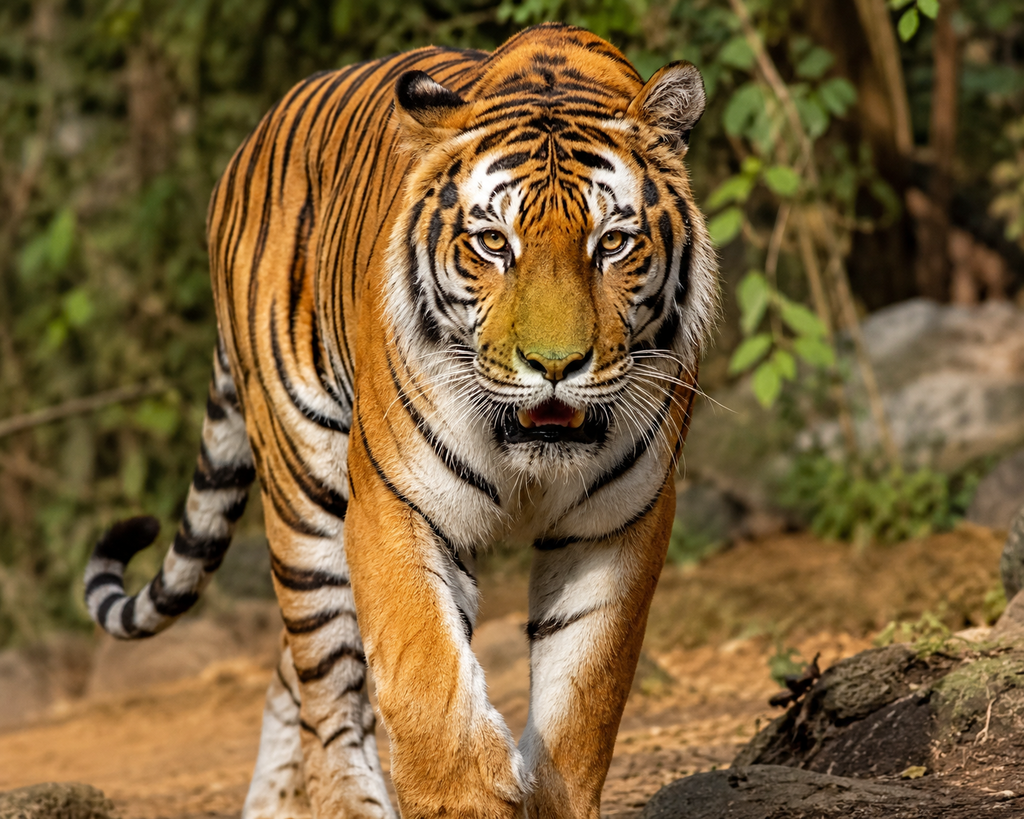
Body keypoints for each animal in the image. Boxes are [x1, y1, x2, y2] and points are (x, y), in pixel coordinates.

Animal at [83, 22, 717, 819]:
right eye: (493, 243)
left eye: (612, 244)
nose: (555, 364)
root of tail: (248, 143)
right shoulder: (394, 501)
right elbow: (425, 673)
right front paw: (466, 795)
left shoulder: (617, 524)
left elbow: (582, 703)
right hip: (304, 490)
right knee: (324, 688)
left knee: (290, 676)